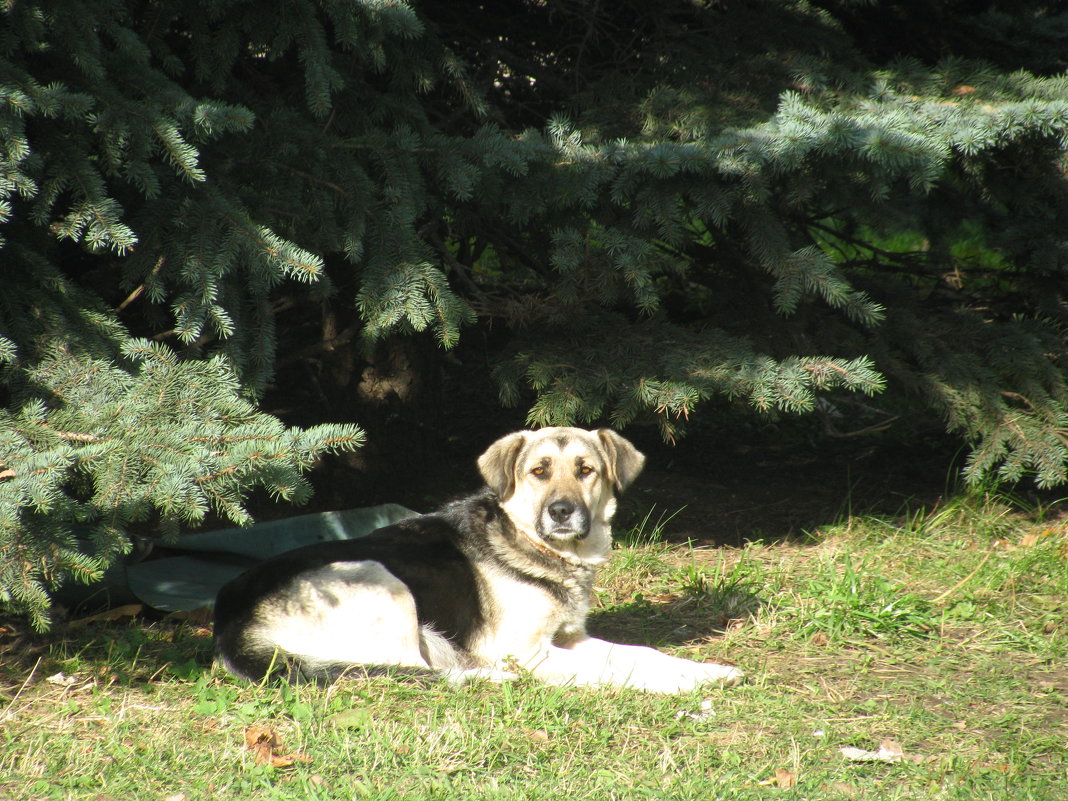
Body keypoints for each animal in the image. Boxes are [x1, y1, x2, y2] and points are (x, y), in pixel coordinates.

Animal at [208, 427, 743, 696]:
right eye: (539, 472)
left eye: (586, 470)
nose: (562, 512)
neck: (540, 548)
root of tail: (231, 624)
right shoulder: (527, 651)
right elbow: (616, 671)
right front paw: (677, 683)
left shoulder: (570, 637)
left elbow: (642, 653)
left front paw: (703, 669)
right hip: (382, 581)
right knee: (416, 671)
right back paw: (491, 678)